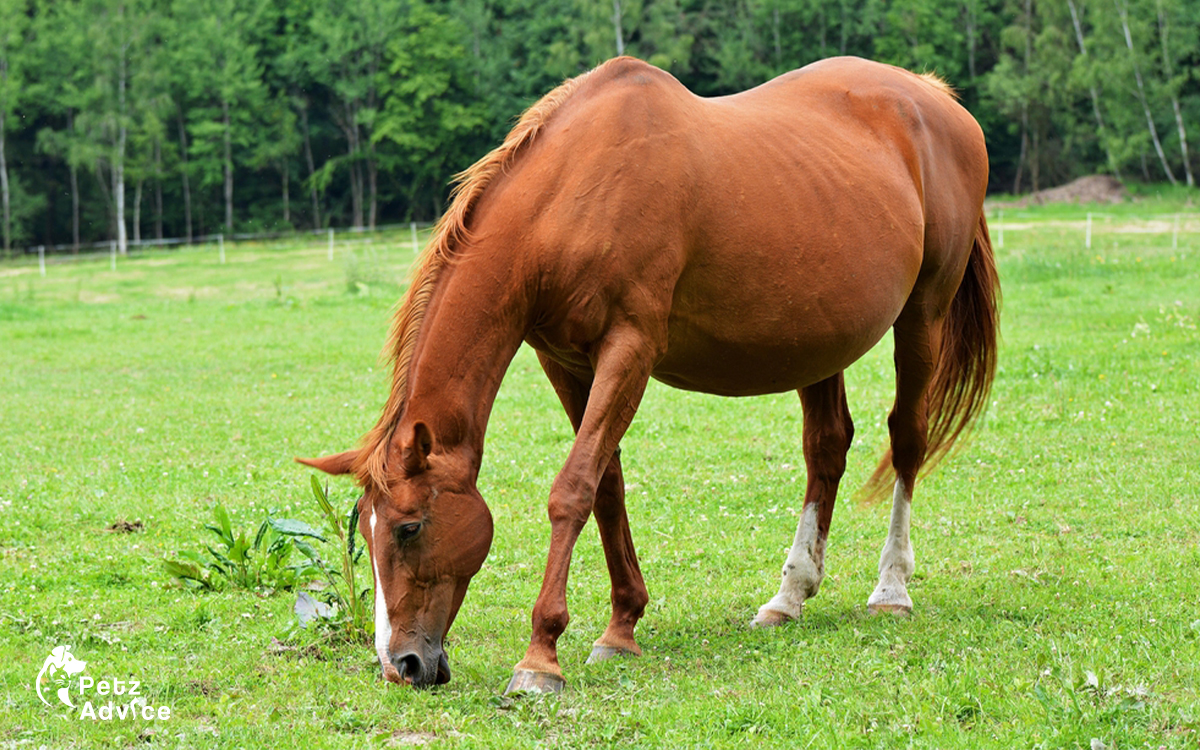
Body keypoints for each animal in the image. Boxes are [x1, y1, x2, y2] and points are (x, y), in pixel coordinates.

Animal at [297, 55, 993, 691]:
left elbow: (573, 488)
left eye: (410, 527)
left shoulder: (629, 349)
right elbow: (607, 487)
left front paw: (540, 658)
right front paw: (620, 629)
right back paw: (789, 596)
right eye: (364, 529)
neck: (572, 196)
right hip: (819, 340)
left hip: (923, 315)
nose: (402, 664)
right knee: (826, 448)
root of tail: (933, 97)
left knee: (907, 438)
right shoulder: (565, 360)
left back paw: (892, 589)